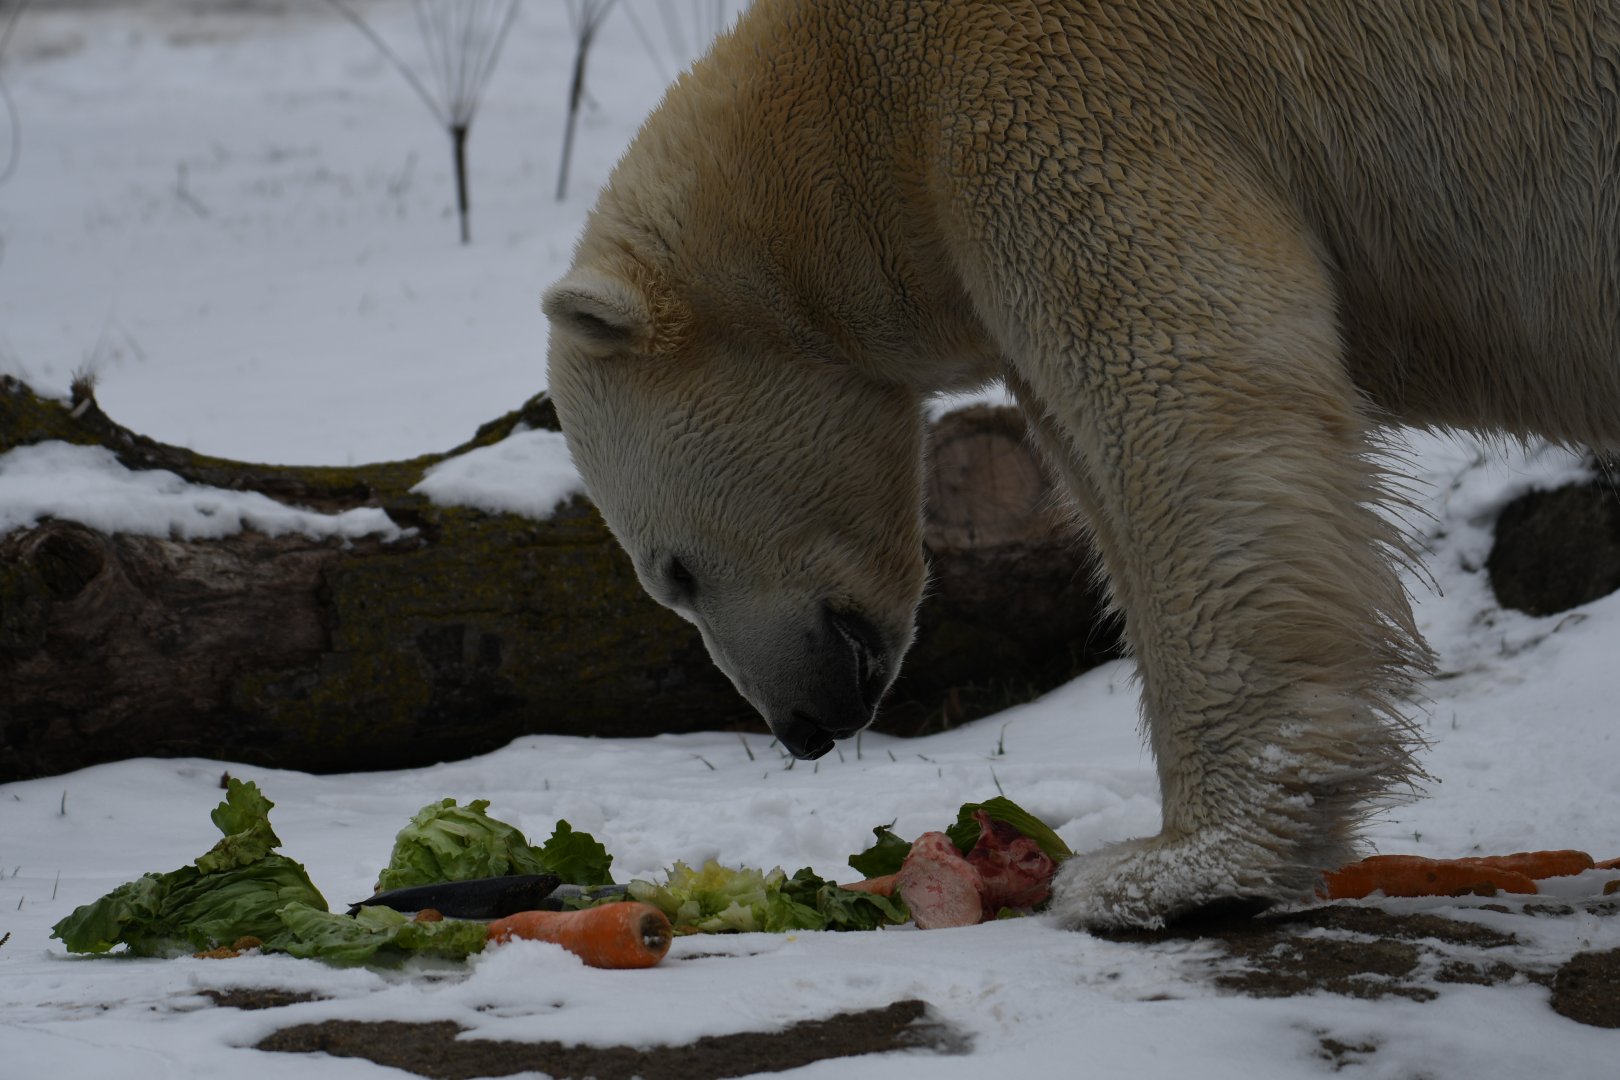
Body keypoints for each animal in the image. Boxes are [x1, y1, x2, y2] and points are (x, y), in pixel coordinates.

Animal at [542, 0, 1620, 930]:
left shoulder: (1056, 94)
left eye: (673, 572)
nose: (802, 724)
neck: (852, 92)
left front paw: (1173, 871)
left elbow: (1182, 396)